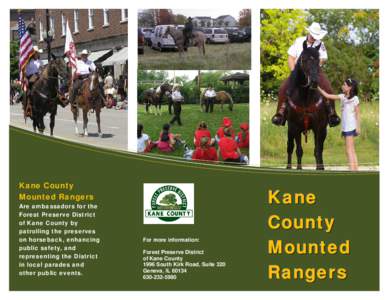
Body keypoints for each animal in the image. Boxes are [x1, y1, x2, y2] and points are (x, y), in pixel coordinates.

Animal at [284, 41, 328, 170]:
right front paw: (299, 168)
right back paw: (288, 167)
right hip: (290, 129)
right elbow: (298, 150)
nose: (314, 81)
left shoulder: (319, 127)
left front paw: (320, 168)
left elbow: (318, 150)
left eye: (318, 60)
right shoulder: (295, 127)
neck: (306, 99)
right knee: (290, 147)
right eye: (304, 59)